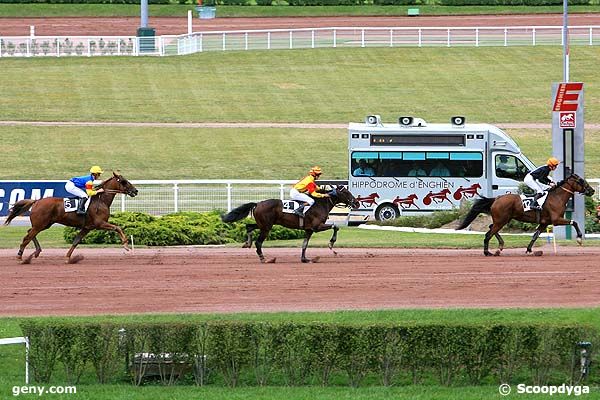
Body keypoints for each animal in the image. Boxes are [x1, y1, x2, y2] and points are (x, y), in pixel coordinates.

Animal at [3, 171, 137, 262]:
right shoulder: (99, 223)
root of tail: (36, 201)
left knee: (30, 232)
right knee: (27, 237)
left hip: (45, 224)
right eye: (124, 181)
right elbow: (117, 227)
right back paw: (20, 256)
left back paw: (37, 252)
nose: (135, 191)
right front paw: (126, 245)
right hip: (40, 224)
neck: (101, 200)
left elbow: (76, 241)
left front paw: (68, 257)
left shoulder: (87, 227)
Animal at [221, 186, 358, 264]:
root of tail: (258, 203)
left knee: (249, 226)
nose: (356, 203)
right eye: (346, 192)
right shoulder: (316, 226)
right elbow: (336, 226)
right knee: (258, 242)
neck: (320, 203)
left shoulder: (309, 230)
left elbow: (304, 244)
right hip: (266, 227)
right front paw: (331, 244)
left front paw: (305, 259)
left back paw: (247, 243)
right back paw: (265, 259)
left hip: (263, 224)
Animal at [460, 174, 596, 256]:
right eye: (581, 180)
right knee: (488, 234)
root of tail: (496, 199)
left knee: (491, 228)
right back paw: (487, 252)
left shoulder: (544, 223)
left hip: (503, 219)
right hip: (501, 220)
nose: (592, 190)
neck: (557, 197)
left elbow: (535, 235)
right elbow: (574, 222)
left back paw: (500, 246)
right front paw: (579, 238)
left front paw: (529, 250)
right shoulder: (556, 219)